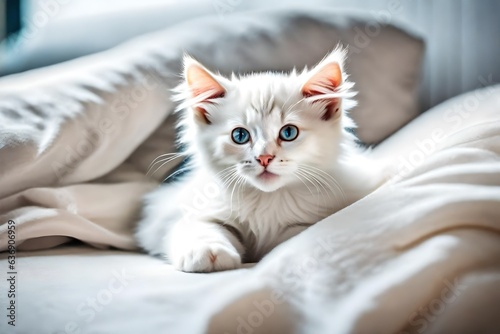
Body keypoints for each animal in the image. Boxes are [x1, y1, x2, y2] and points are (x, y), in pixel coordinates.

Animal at [135, 49, 380, 272]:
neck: (266, 201)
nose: (264, 157)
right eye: (240, 135)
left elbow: (293, 234)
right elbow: (199, 226)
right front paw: (208, 251)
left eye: (289, 132)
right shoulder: (170, 213)